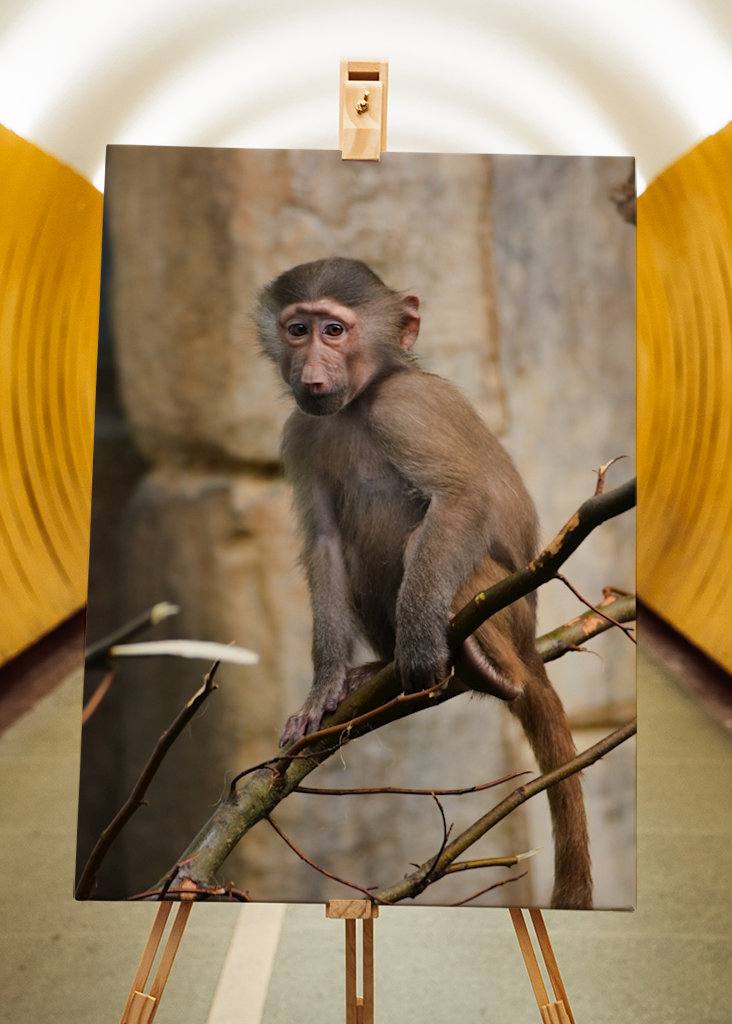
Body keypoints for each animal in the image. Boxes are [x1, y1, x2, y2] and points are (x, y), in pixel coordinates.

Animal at [256, 256, 591, 909]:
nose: (311, 371)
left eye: (334, 330)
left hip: (503, 606)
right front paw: (323, 687)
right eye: (297, 330)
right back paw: (373, 673)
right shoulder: (301, 432)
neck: (359, 403)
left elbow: (460, 498)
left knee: (427, 540)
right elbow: (326, 548)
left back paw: (478, 664)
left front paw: (417, 645)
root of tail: (530, 639)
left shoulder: (405, 408)